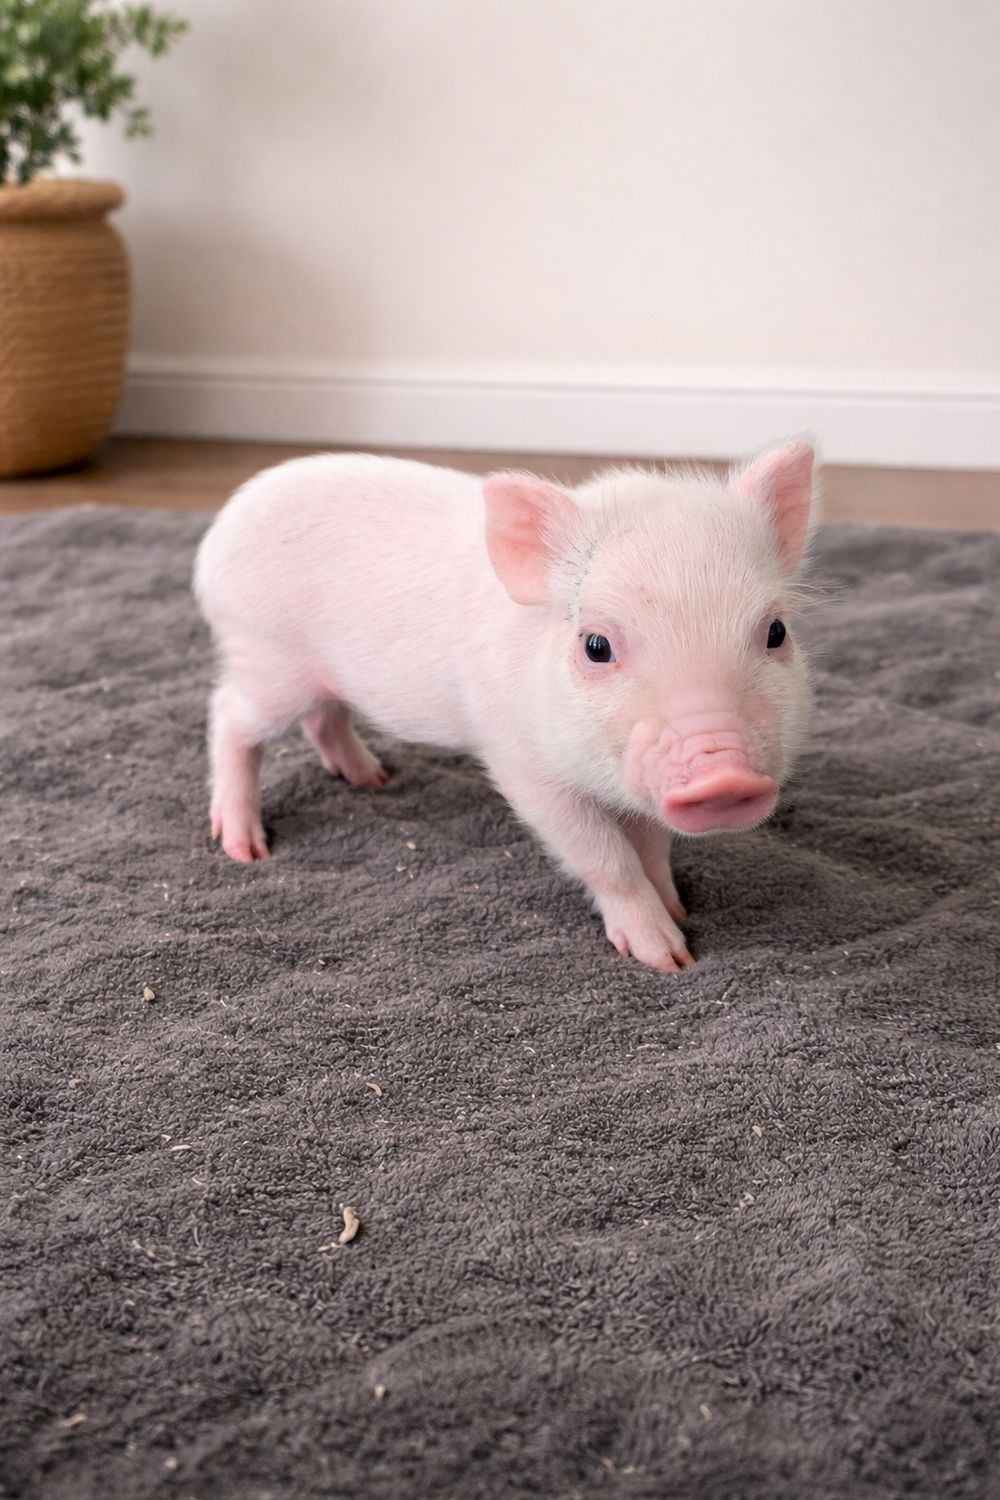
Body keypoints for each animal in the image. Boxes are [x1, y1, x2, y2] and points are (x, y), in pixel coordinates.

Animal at [193, 442, 816, 972]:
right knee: (228, 715)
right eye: (596, 646)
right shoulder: (524, 767)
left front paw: (681, 911)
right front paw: (668, 959)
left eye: (776, 632)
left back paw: (374, 779)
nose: (725, 774)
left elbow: (651, 846)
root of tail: (220, 533)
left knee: (323, 718)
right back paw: (245, 849)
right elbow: (606, 857)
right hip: (268, 661)